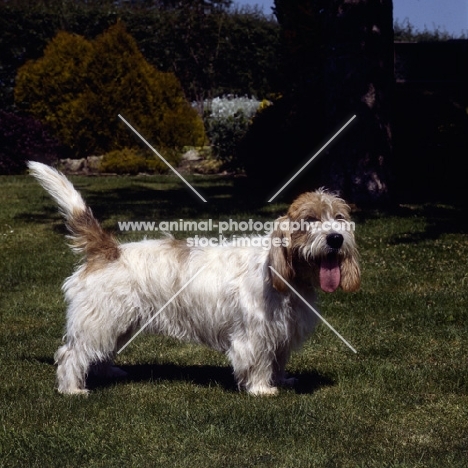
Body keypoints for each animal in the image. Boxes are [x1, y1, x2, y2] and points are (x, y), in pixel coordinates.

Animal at [29, 161, 360, 394]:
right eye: (309, 220)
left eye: (340, 218)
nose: (335, 238)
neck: (283, 273)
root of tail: (109, 250)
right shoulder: (254, 333)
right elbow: (258, 361)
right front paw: (262, 389)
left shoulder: (281, 332)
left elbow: (277, 360)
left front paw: (282, 380)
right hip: (98, 319)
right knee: (71, 353)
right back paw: (72, 389)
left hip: (118, 321)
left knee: (99, 351)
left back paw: (107, 372)